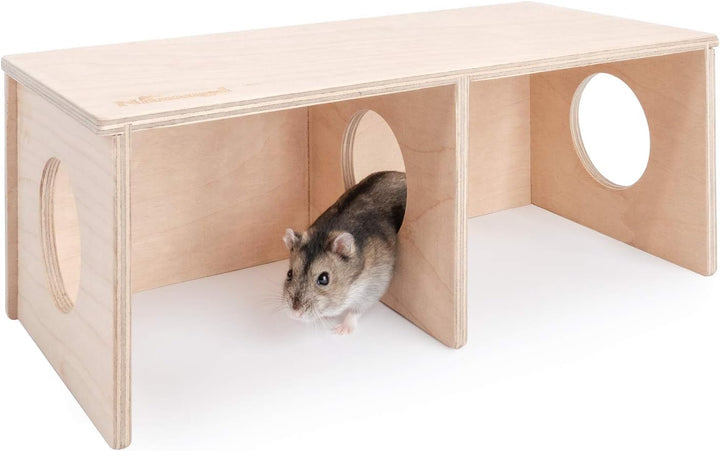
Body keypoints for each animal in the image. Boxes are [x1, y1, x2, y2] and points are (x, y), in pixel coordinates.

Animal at [282, 171, 406, 335]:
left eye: (324, 279)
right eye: (289, 274)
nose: (295, 313)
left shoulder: (374, 283)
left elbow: (356, 310)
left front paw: (341, 330)